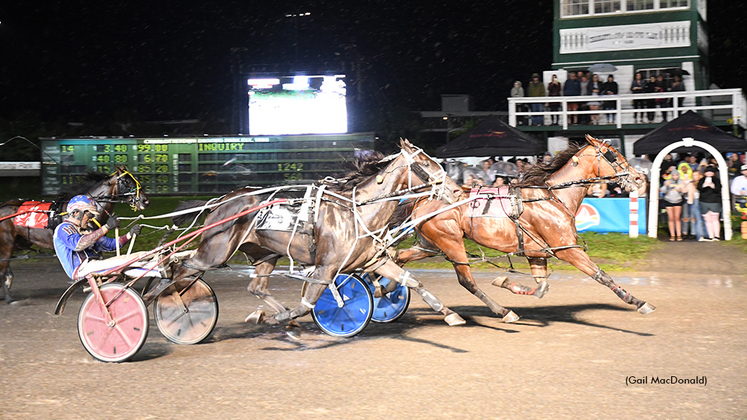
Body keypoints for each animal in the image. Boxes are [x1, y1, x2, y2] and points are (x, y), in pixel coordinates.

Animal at [0, 166, 150, 304]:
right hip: (7, 243)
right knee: (3, 267)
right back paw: (8, 297)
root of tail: (3, 207)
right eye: (127, 181)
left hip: (19, 242)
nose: (145, 201)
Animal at [172, 139, 470, 336]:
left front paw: (450, 314)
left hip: (265, 253)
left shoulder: (375, 261)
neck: (356, 212)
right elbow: (308, 305)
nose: (457, 191)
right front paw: (275, 318)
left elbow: (413, 281)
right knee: (181, 269)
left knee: (256, 287)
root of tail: (221, 200)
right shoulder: (326, 268)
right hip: (214, 251)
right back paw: (175, 310)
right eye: (424, 162)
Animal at [394, 135, 656, 322]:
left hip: (428, 245)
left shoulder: (536, 253)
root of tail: (423, 198)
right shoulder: (568, 250)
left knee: (398, 259)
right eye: (612, 154)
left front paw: (506, 283)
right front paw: (638, 302)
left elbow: (541, 288)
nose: (639, 178)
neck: (553, 197)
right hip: (451, 243)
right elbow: (601, 275)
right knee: (466, 281)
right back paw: (497, 311)